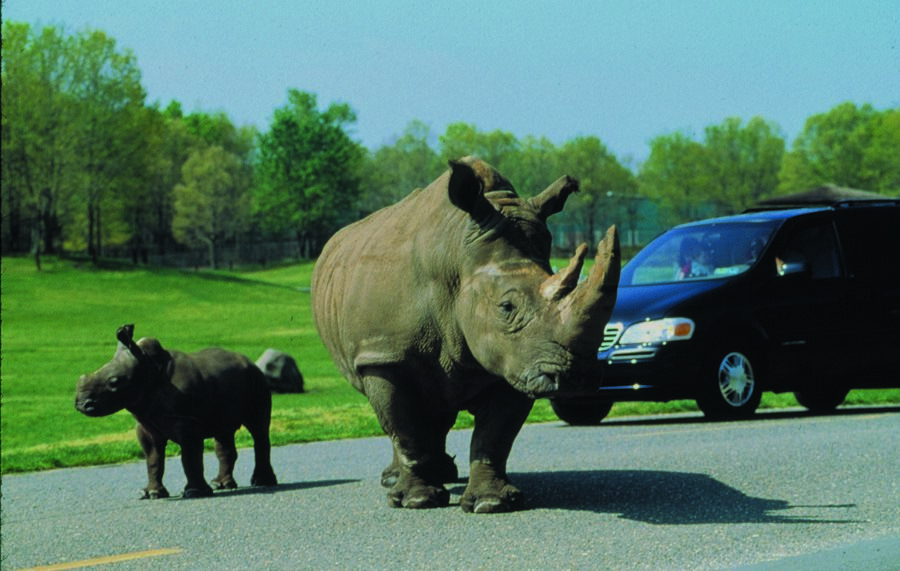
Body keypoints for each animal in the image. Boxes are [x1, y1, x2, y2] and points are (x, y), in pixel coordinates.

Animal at [74, 325, 278, 499]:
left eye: (114, 382)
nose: (82, 405)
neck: (148, 367)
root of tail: (250, 361)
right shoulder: (145, 422)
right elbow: (153, 459)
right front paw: (151, 494)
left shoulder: (187, 421)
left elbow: (190, 458)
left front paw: (194, 492)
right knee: (223, 431)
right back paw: (220, 484)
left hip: (256, 380)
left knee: (258, 428)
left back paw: (262, 482)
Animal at [312, 157, 619, 513]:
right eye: (506, 307)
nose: (576, 377)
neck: (455, 260)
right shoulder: (383, 354)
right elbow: (403, 426)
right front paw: (417, 500)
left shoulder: (516, 360)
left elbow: (496, 435)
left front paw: (492, 503)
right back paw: (398, 481)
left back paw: (442, 472)